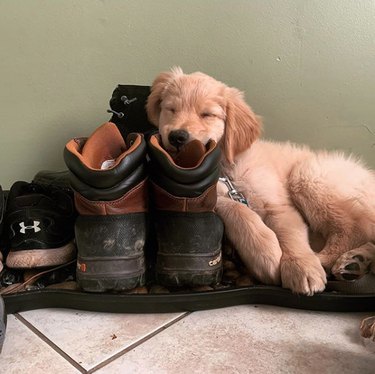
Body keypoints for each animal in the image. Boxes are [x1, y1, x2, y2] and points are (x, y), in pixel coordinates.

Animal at [145, 66, 375, 296]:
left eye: (207, 114)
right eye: (171, 109)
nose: (177, 137)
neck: (226, 168)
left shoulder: (279, 205)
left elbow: (291, 235)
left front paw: (301, 267)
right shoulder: (211, 197)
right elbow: (238, 210)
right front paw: (266, 254)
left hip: (307, 175)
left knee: (355, 229)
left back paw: (325, 260)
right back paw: (356, 262)